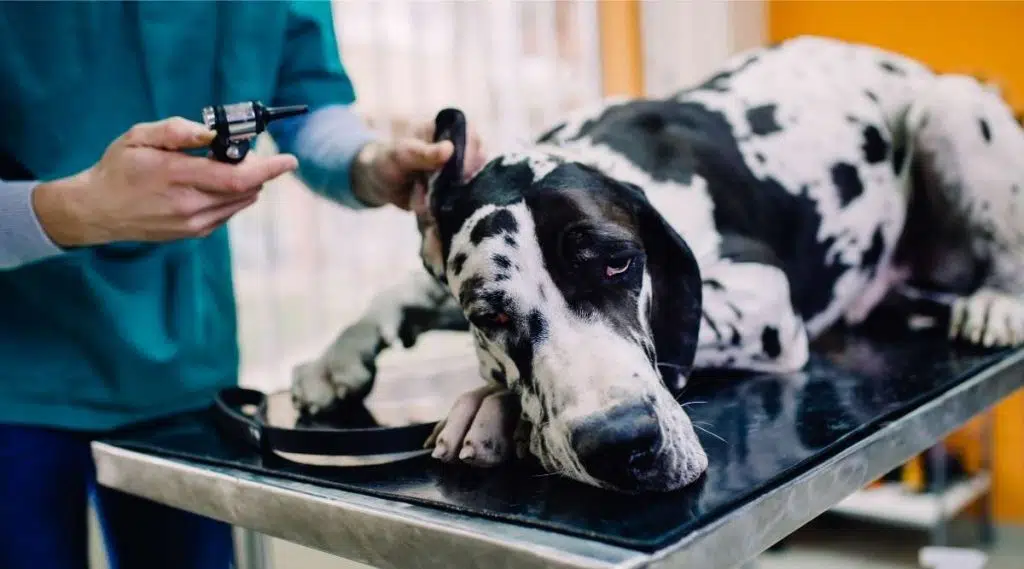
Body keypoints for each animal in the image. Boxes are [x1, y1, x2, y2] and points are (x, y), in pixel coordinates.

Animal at [292, 37, 1024, 493]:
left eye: (619, 264)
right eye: (489, 315)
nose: (621, 444)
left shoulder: (763, 299)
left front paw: (490, 406)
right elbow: (397, 291)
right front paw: (334, 359)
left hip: (949, 108)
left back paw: (998, 300)